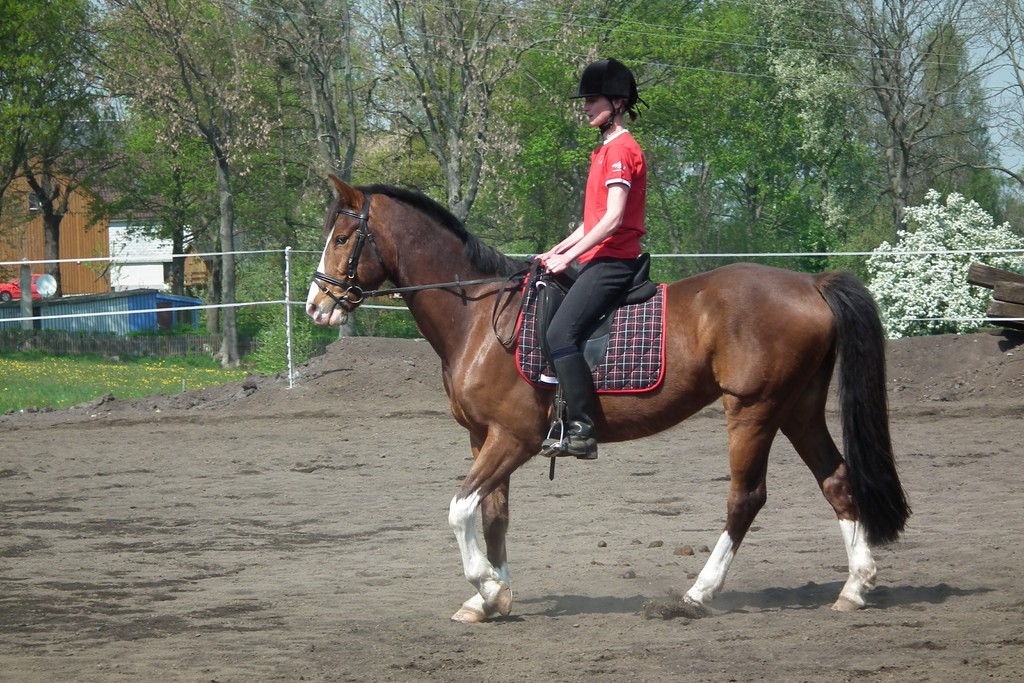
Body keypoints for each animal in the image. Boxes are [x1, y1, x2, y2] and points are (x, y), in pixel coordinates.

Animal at [306, 175, 910, 623]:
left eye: (342, 239)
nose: (315, 305)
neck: (477, 316)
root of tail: (809, 283)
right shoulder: (484, 437)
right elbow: (494, 515)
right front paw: (489, 598)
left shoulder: (514, 438)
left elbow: (459, 509)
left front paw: (487, 587)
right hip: (797, 408)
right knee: (836, 482)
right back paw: (855, 587)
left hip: (753, 410)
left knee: (746, 498)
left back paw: (698, 594)